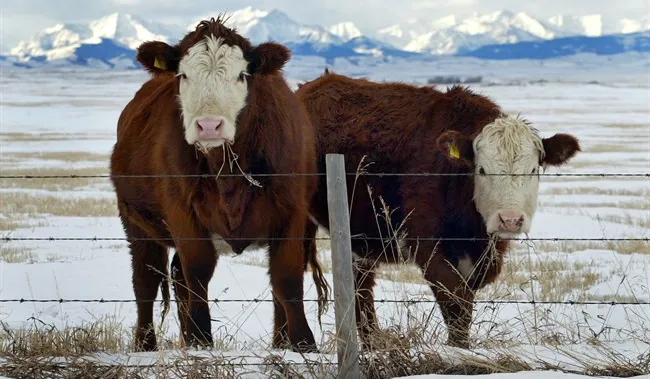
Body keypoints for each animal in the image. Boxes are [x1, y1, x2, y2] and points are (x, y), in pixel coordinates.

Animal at [109, 17, 330, 354]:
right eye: (183, 75)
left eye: (241, 75)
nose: (209, 125)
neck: (227, 173)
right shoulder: (182, 212)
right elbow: (198, 272)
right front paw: (201, 340)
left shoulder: (292, 213)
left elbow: (286, 279)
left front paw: (303, 345)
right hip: (136, 222)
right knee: (147, 280)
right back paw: (145, 345)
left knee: (176, 276)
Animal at [296, 71, 580, 350]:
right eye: (482, 169)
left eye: (532, 170)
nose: (510, 220)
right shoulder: (427, 246)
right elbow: (455, 304)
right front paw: (458, 351)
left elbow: (465, 306)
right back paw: (300, 343)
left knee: (360, 285)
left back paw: (372, 343)